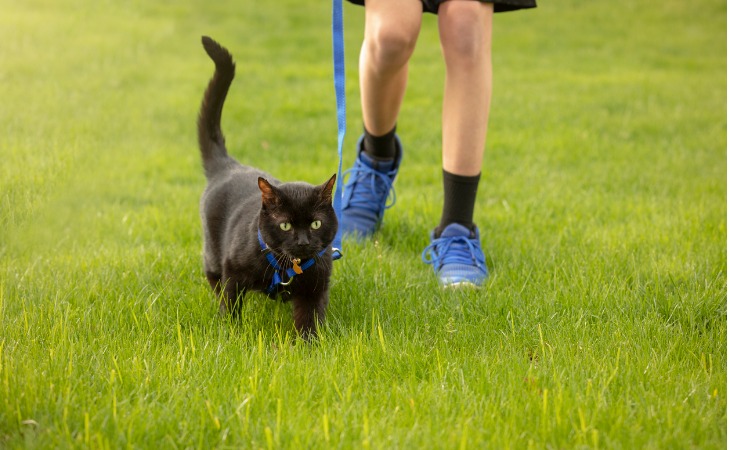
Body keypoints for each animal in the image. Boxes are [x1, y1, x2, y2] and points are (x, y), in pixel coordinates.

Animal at [198, 36, 336, 338]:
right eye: (285, 225)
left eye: (316, 224)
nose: (303, 241)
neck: (288, 270)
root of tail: (229, 164)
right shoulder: (233, 274)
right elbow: (230, 306)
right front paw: (231, 334)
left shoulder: (316, 288)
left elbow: (309, 321)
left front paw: (307, 345)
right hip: (213, 254)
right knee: (214, 278)